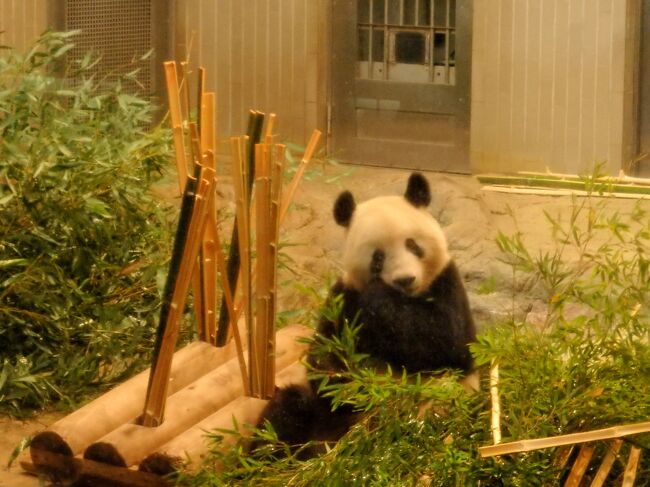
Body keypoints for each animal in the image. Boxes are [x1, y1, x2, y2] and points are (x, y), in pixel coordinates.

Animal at [254, 173, 476, 456]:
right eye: (377, 257)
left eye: (413, 245)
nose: (405, 279)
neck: (406, 298)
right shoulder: (343, 299)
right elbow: (325, 360)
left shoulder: (446, 284)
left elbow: (447, 342)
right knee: (287, 409)